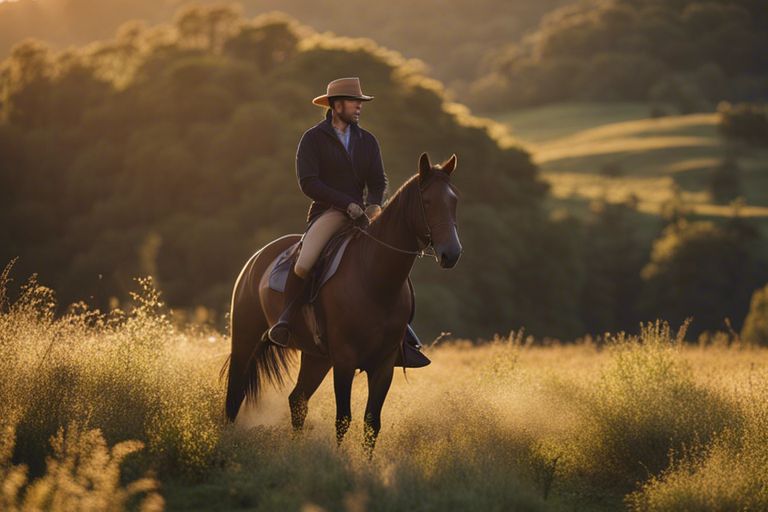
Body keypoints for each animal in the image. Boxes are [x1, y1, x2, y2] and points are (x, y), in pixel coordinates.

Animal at [222, 152, 462, 448]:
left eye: (454, 200)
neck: (375, 279)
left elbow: (372, 423)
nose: (452, 254)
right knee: (235, 396)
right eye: (427, 201)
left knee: (297, 401)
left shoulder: (384, 365)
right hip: (246, 340)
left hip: (317, 358)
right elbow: (343, 419)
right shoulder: (345, 360)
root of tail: (256, 258)